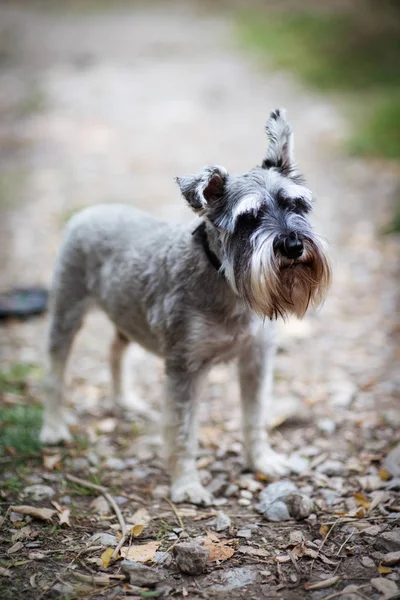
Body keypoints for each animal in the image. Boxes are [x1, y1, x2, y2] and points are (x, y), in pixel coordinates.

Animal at [39, 110, 332, 504]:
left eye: (296, 205)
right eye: (248, 218)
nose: (293, 245)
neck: (225, 281)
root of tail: (89, 211)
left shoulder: (256, 358)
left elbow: (254, 417)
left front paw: (262, 461)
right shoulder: (185, 368)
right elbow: (183, 431)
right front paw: (187, 485)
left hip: (125, 314)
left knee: (116, 350)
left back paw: (125, 400)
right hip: (67, 313)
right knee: (55, 374)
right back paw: (53, 428)